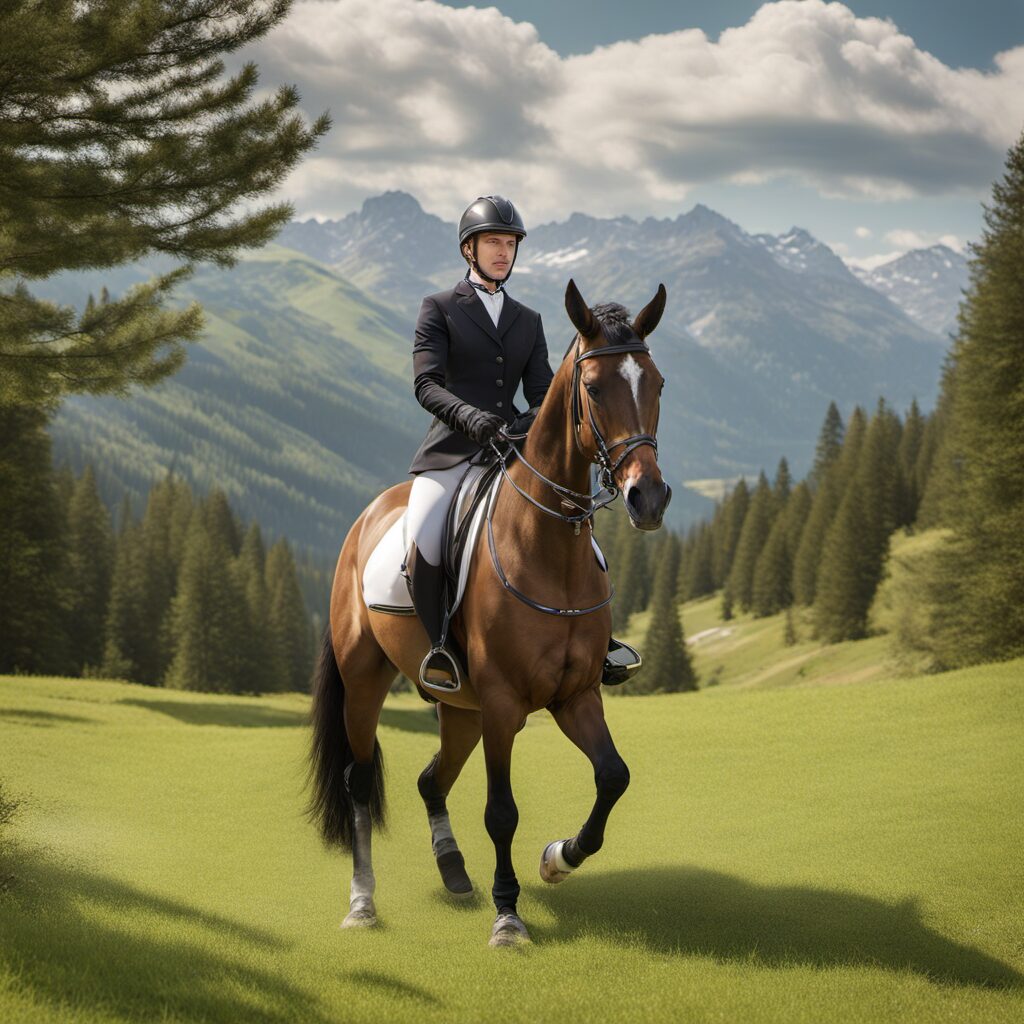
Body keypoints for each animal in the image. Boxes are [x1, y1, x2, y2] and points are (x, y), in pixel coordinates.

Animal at [308, 278, 672, 947]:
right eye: (593, 388)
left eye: (657, 384)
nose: (648, 498)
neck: (548, 548)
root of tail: (366, 517)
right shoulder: (503, 702)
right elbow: (501, 812)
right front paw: (508, 916)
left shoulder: (577, 693)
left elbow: (613, 776)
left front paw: (557, 858)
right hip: (366, 679)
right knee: (359, 782)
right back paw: (363, 903)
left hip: (461, 707)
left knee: (432, 779)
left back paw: (453, 869)